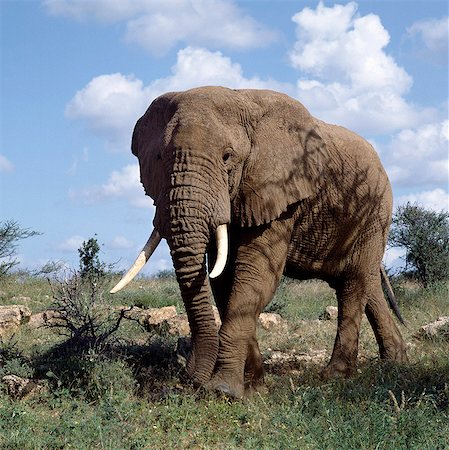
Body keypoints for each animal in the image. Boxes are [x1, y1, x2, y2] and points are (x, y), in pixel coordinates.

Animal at [111, 86, 406, 396]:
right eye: (158, 157)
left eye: (227, 157)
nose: (189, 379)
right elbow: (224, 281)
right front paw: (253, 385)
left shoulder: (279, 190)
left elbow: (255, 277)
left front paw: (223, 390)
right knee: (365, 283)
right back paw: (395, 362)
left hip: (374, 211)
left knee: (352, 284)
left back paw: (335, 376)